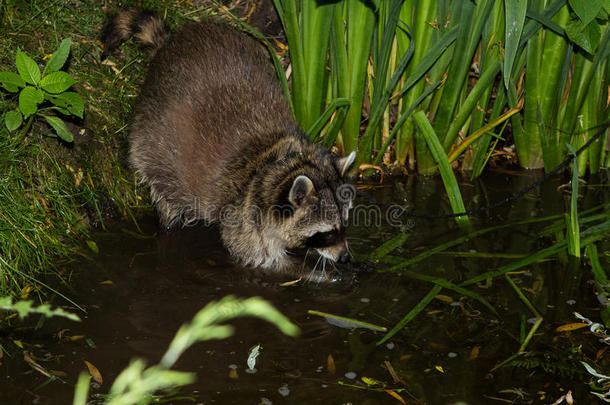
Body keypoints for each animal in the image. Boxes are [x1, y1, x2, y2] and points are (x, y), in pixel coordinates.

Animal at [102, 9, 354, 274]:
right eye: (327, 233)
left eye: (345, 225)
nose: (345, 257)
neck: (281, 162)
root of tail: (171, 42)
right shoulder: (247, 214)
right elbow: (260, 258)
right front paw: (314, 271)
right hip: (151, 141)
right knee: (165, 194)